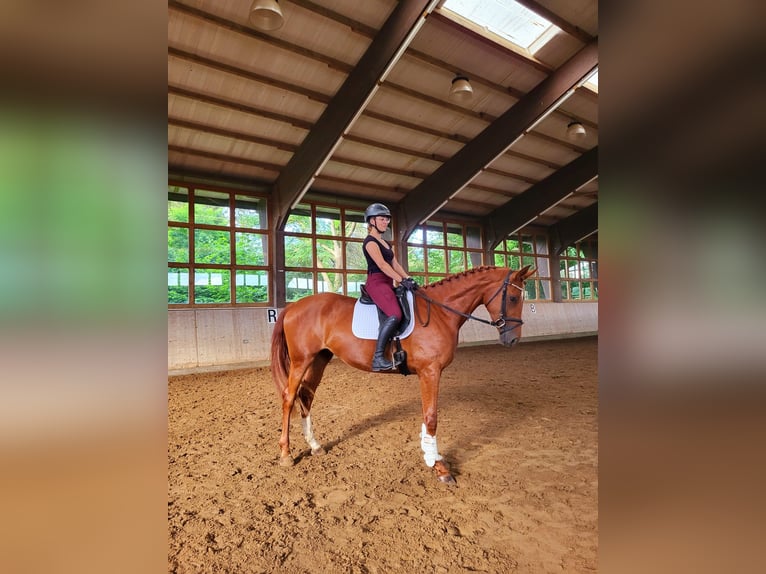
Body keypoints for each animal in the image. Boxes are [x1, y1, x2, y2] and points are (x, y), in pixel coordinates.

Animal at [272, 268, 536, 484]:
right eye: (513, 298)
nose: (512, 340)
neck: (440, 312)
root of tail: (293, 306)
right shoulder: (430, 371)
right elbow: (431, 418)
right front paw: (439, 467)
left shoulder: (429, 373)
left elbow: (427, 416)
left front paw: (432, 456)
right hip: (301, 360)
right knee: (289, 397)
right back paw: (285, 455)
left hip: (319, 358)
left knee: (306, 396)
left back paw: (315, 446)